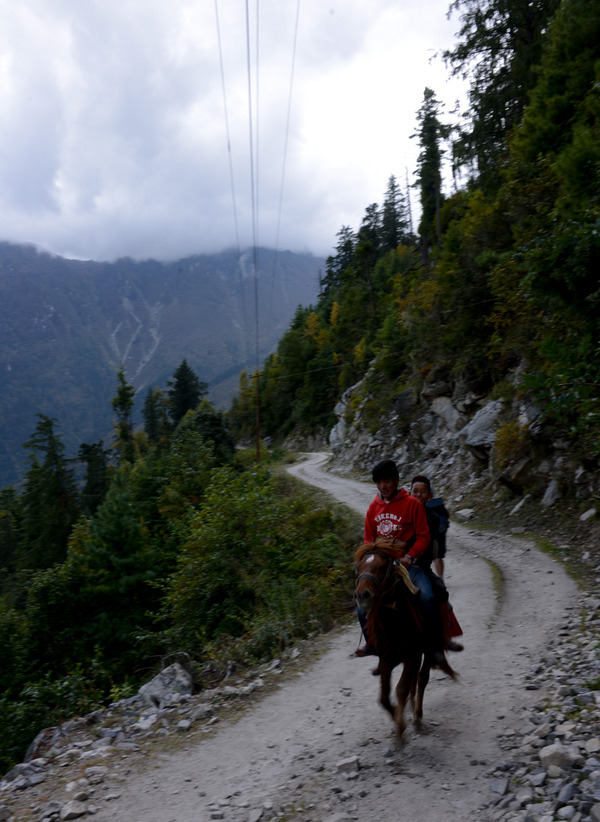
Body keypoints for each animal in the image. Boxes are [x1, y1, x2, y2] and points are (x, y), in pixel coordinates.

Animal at [352, 544, 454, 744]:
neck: (393, 621)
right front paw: (398, 720)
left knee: (421, 679)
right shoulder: (386, 660)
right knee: (414, 682)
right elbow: (384, 697)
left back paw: (417, 716)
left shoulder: (411, 656)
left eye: (382, 567)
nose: (363, 595)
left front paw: (401, 728)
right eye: (359, 568)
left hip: (427, 652)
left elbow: (401, 689)